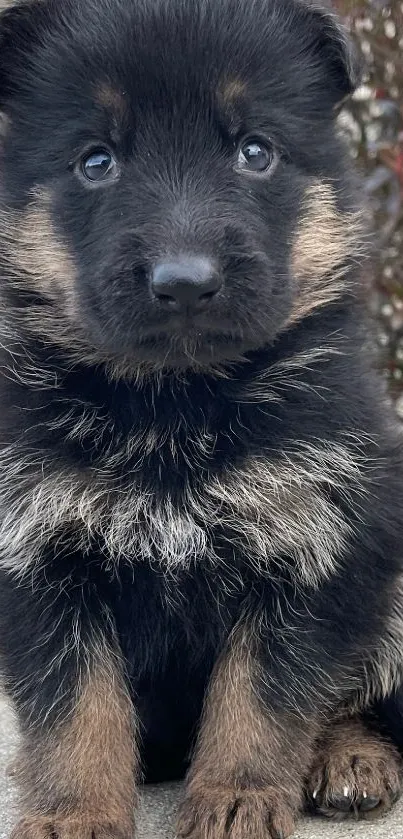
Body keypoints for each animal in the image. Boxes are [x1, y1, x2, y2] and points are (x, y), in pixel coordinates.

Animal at [0, 0, 403, 836]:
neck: (173, 409)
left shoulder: (313, 540)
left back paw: (351, 756)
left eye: (255, 151)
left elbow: (263, 691)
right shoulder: (42, 556)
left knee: (361, 688)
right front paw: (73, 809)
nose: (184, 281)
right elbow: (74, 705)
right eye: (96, 160)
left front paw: (236, 795)